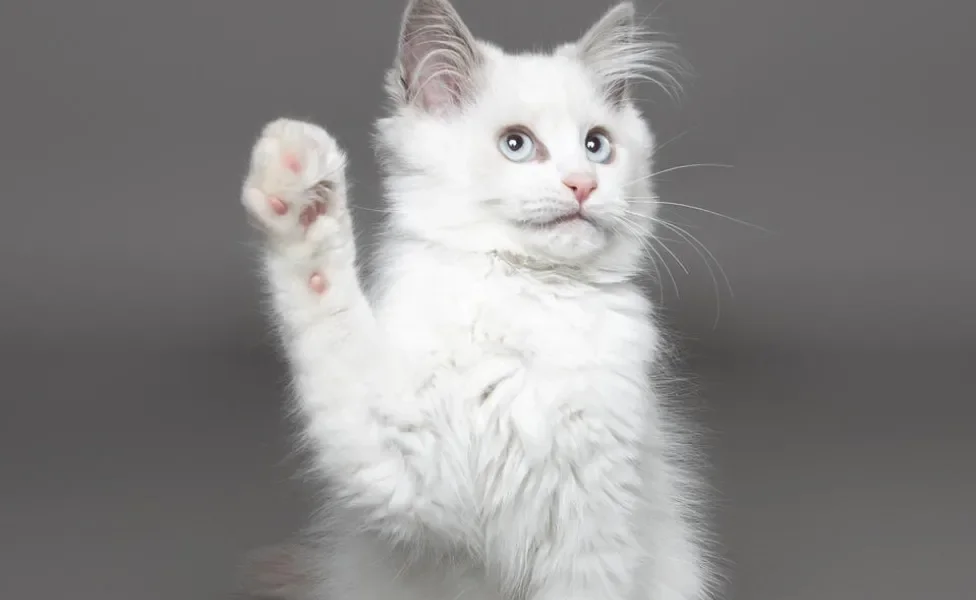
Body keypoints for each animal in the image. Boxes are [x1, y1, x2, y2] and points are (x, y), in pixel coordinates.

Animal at [240, 1, 716, 600]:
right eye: (517, 144)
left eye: (596, 145)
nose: (583, 184)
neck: (528, 300)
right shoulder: (406, 474)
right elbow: (329, 316)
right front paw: (300, 191)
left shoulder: (596, 533)